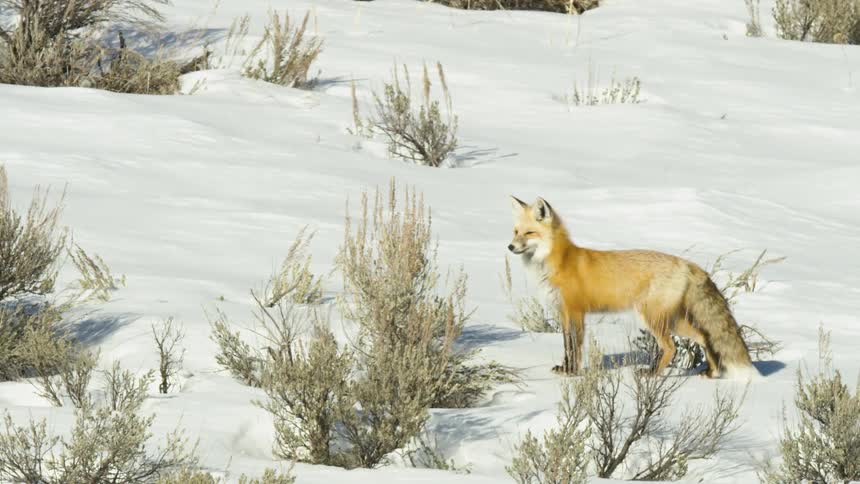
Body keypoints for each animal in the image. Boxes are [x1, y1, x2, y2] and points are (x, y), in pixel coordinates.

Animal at [507, 195, 756, 379]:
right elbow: (566, 345)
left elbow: (574, 347)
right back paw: (712, 372)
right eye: (515, 231)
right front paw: (564, 368)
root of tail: (688, 264)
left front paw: (573, 373)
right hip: (673, 320)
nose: (510, 247)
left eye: (529, 233)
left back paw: (652, 374)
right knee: (704, 337)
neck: (559, 261)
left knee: (672, 347)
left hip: (653, 319)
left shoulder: (576, 312)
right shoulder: (563, 312)